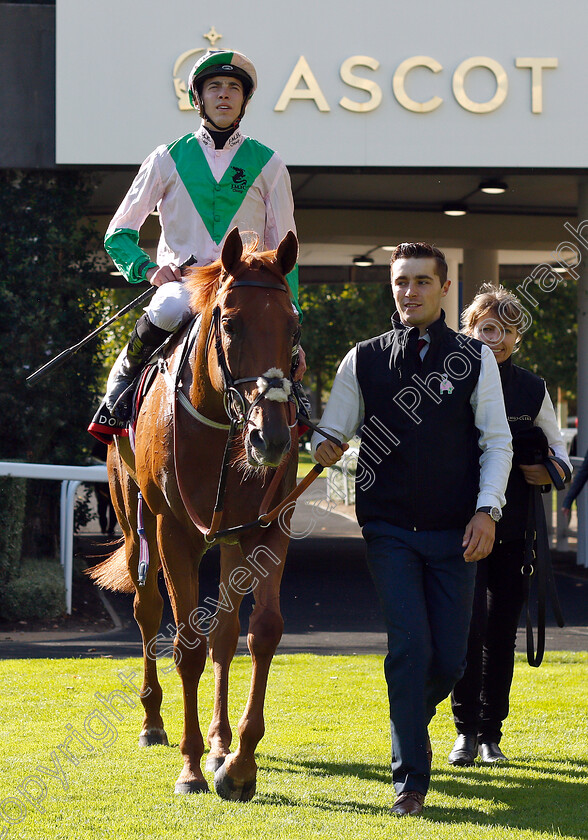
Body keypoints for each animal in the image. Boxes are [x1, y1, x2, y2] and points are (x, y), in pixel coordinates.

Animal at [92, 228, 304, 800]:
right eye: (230, 322)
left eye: (293, 327)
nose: (272, 438)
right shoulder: (174, 533)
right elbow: (186, 643)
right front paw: (189, 769)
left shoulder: (266, 528)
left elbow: (262, 631)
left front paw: (239, 762)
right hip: (133, 521)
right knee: (147, 612)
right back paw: (154, 724)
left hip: (228, 537)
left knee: (226, 636)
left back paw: (218, 741)